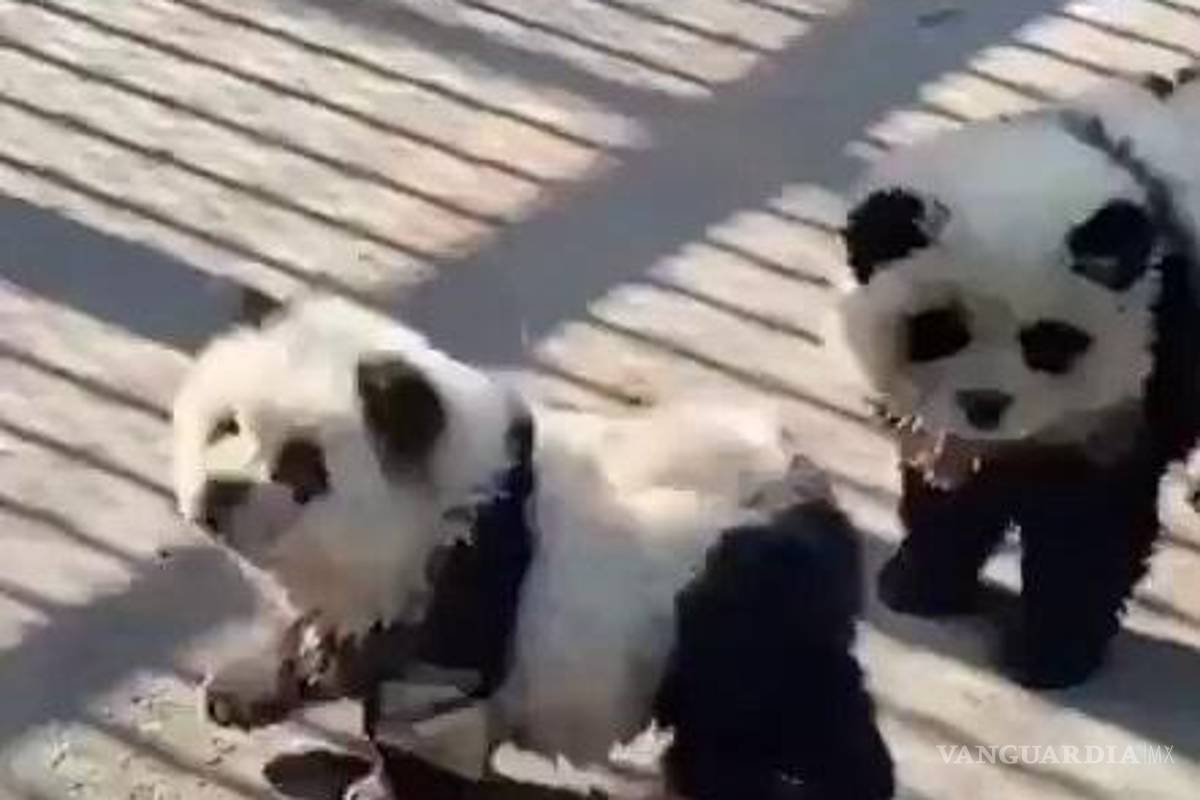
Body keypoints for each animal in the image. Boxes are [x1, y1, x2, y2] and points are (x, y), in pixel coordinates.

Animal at [171, 293, 894, 800]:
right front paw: (246, 688)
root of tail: (813, 501)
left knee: (767, 734)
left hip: (728, 625)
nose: (218, 495)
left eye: (302, 466)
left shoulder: (459, 605)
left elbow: (425, 726)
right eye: (225, 426)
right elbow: (334, 635)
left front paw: (377, 784)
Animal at [836, 76, 1200, 689]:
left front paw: (1050, 654)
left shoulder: (1147, 372)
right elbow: (951, 489)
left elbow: (1087, 527)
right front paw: (918, 583)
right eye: (941, 329)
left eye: (1048, 341)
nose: (986, 405)